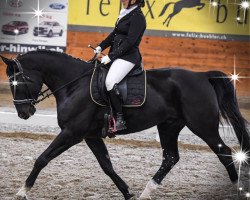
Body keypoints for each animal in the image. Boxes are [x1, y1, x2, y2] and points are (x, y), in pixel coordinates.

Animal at [0, 49, 249, 198]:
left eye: (17, 81)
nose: (24, 113)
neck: (74, 85)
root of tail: (201, 75)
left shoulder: (71, 133)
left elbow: (42, 158)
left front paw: (22, 191)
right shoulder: (91, 136)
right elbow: (107, 166)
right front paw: (128, 193)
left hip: (203, 126)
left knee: (225, 153)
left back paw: (234, 190)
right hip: (169, 126)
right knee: (170, 158)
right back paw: (146, 192)